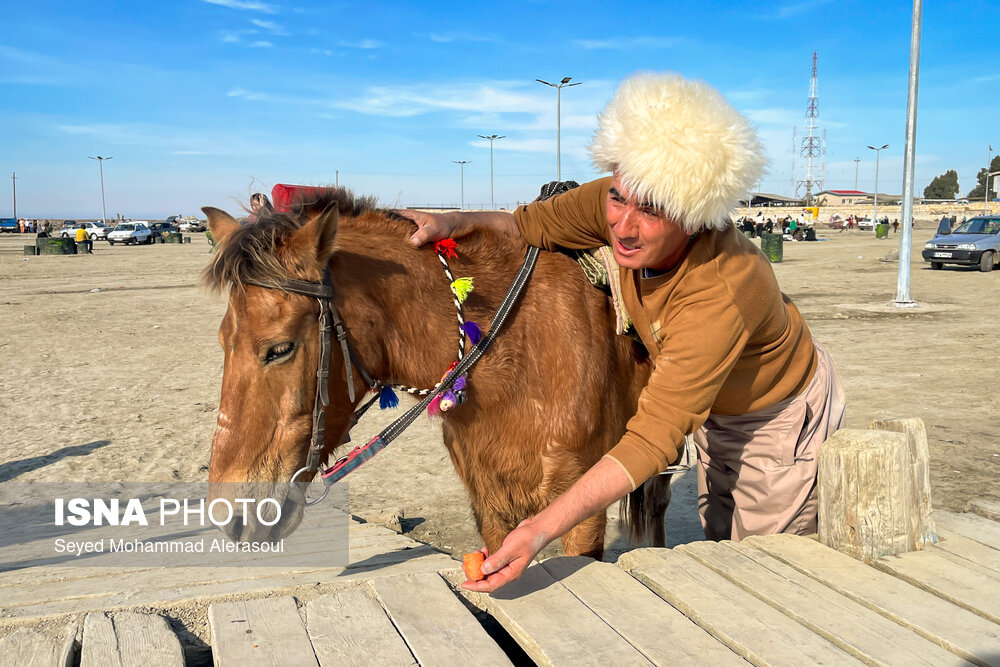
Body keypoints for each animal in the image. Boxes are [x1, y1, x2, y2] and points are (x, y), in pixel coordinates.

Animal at [201, 189, 672, 560]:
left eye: (279, 349)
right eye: (222, 341)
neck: (515, 349)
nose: (230, 517)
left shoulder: (582, 511)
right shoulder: (490, 503)